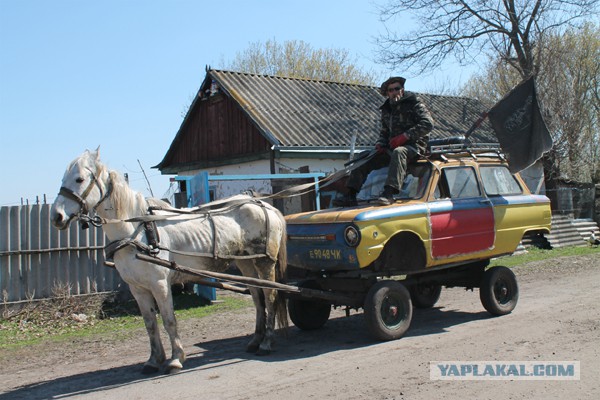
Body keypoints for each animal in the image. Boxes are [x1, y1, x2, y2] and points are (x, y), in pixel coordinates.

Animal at [49, 148, 288, 374]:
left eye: (79, 179)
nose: (56, 216)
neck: (138, 232)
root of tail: (263, 204)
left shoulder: (160, 285)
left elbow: (169, 320)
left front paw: (175, 359)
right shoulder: (138, 288)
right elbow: (150, 324)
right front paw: (154, 360)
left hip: (264, 262)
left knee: (270, 296)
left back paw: (266, 342)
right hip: (246, 263)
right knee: (257, 298)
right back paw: (255, 340)